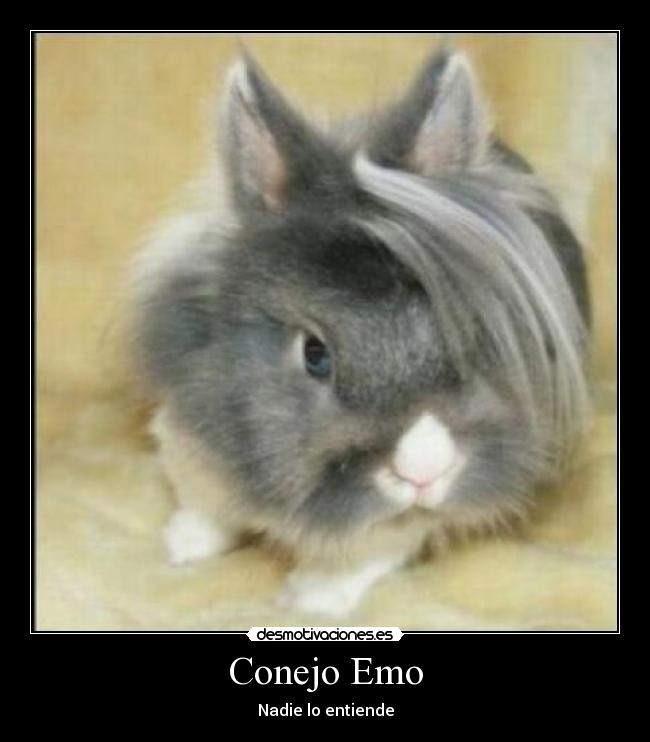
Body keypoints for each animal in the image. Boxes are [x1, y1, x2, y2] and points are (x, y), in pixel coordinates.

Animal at [130, 46, 592, 618]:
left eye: (473, 330)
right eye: (314, 353)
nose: (424, 471)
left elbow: (370, 552)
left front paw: (312, 599)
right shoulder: (189, 447)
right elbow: (205, 507)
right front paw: (184, 547)